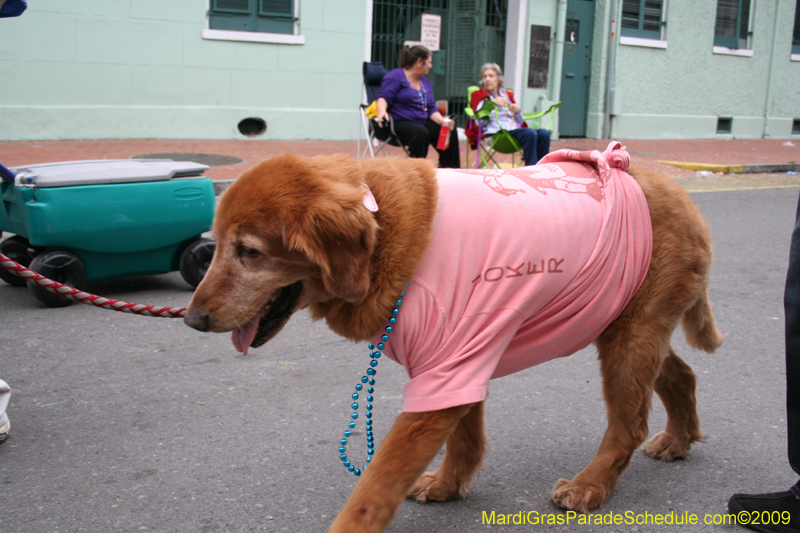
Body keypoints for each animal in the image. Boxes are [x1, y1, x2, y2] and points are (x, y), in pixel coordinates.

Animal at [184, 143, 720, 528]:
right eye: (217, 244)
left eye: (249, 251)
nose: (191, 320)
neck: (383, 233)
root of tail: (683, 198)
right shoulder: (458, 362)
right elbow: (466, 437)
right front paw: (448, 485)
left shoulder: (448, 368)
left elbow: (374, 489)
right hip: (621, 324)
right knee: (682, 374)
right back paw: (678, 438)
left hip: (629, 337)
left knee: (628, 424)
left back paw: (592, 484)